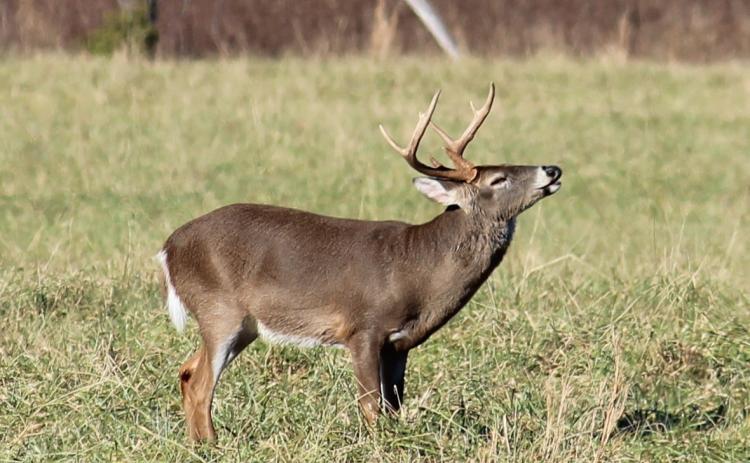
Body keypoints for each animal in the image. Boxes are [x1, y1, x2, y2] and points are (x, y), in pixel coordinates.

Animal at [157, 83, 562, 441]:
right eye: (499, 178)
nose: (553, 169)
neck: (419, 268)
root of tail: (168, 248)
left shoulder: (399, 344)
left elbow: (394, 405)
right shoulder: (363, 327)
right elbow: (371, 405)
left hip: (244, 325)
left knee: (187, 371)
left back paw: (198, 443)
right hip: (219, 308)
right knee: (201, 384)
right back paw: (213, 445)